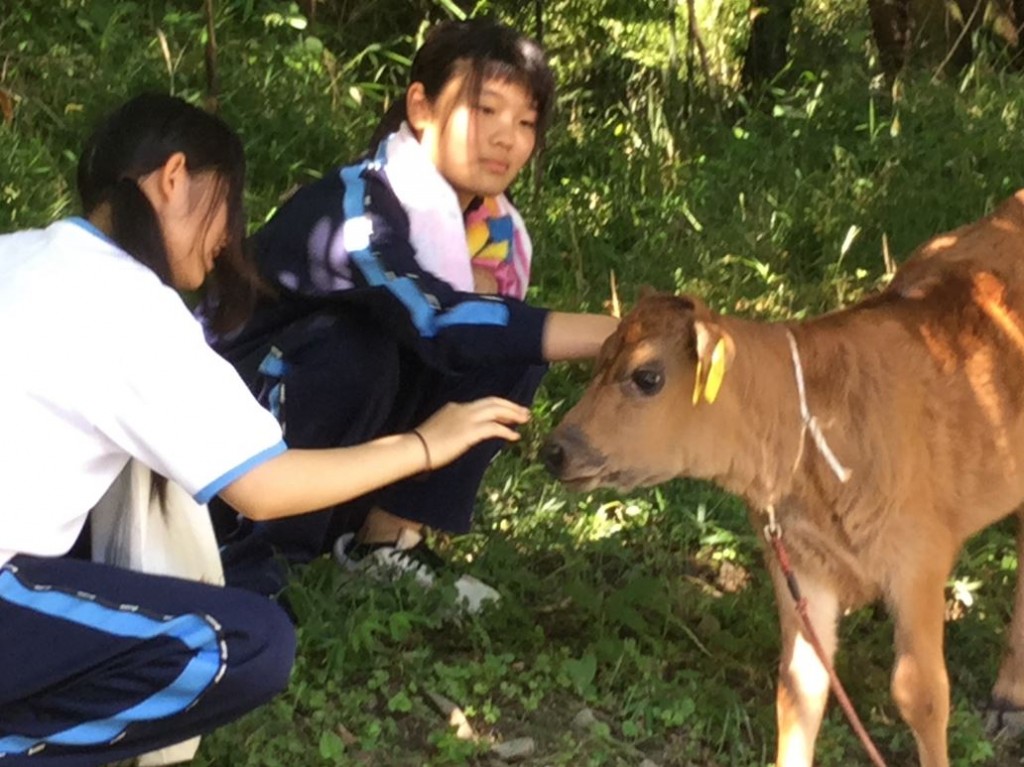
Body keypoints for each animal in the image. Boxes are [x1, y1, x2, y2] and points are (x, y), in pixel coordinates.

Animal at [548, 191, 1024, 765]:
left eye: (647, 376)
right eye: (597, 361)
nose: (555, 450)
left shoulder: (918, 560)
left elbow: (922, 694)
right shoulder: (797, 562)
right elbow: (801, 687)